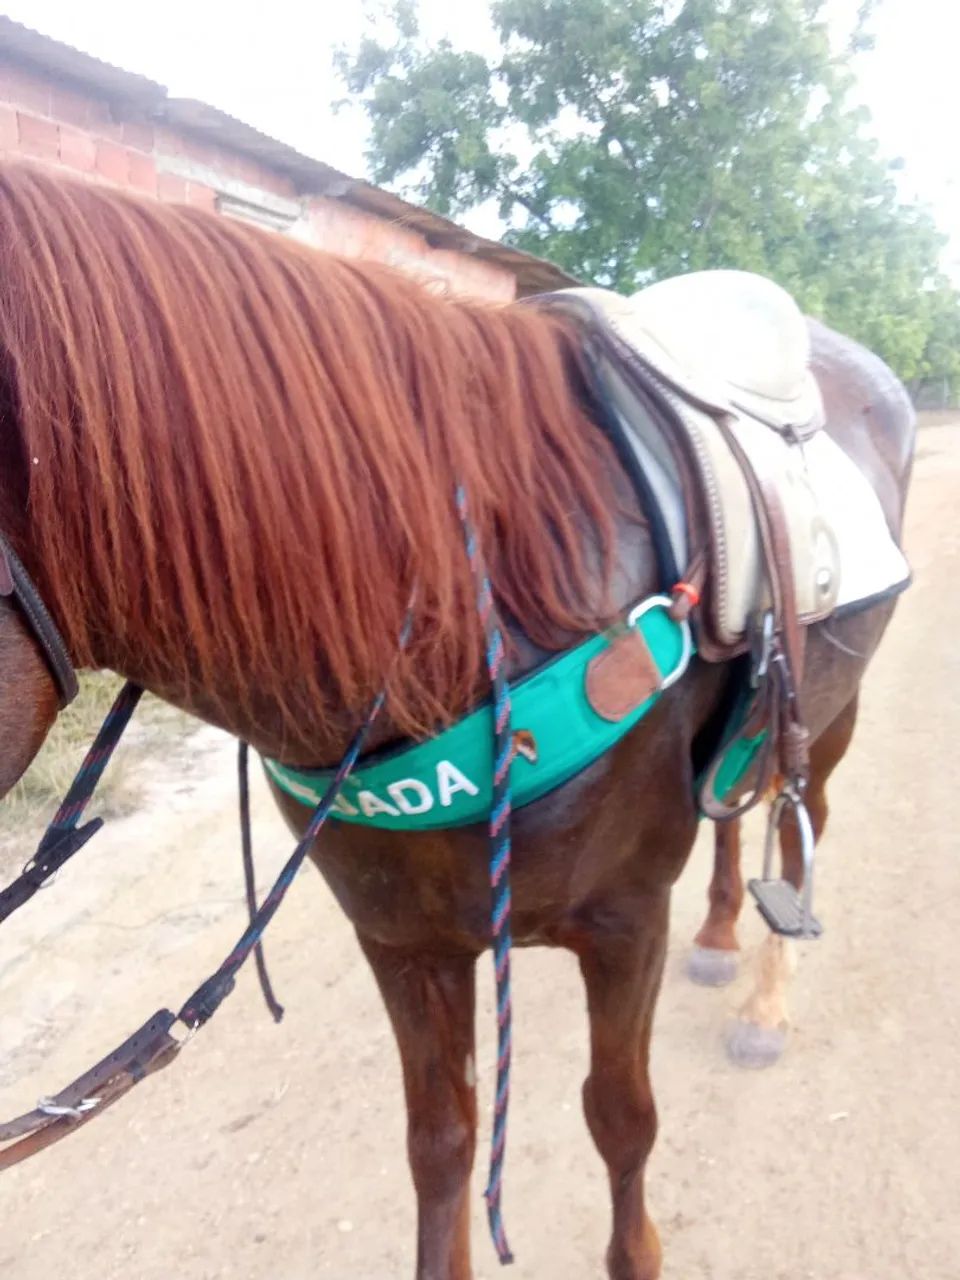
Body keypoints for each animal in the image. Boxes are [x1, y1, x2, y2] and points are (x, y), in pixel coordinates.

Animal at [0, 164, 914, 1280]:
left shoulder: (624, 922)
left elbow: (622, 1119)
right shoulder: (407, 943)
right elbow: (440, 1144)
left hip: (831, 714)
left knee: (797, 817)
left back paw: (768, 1003)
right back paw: (718, 931)